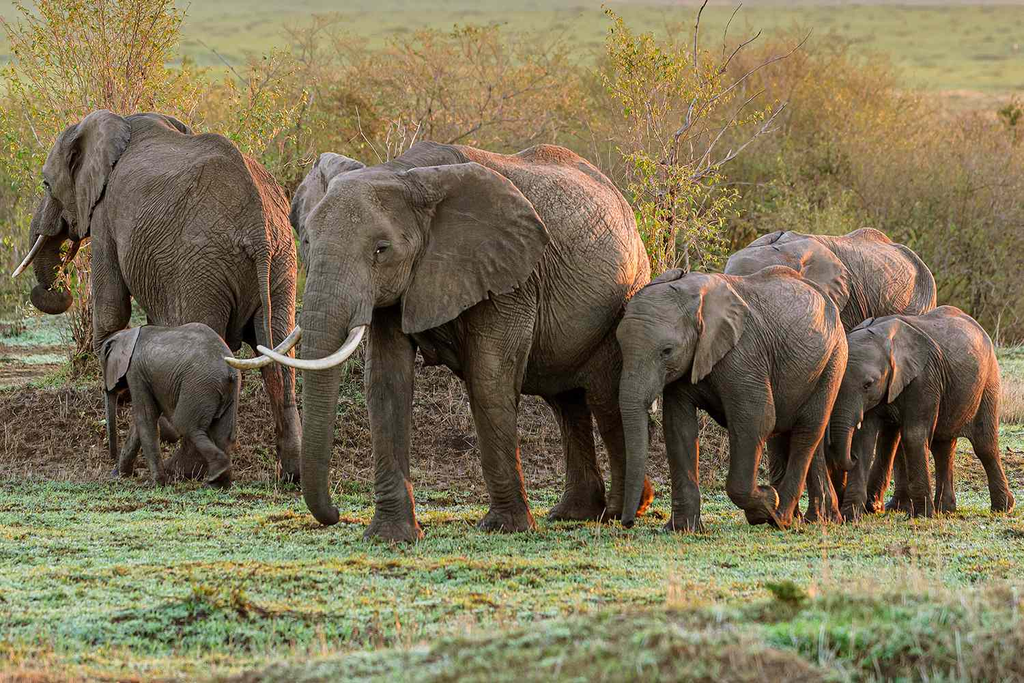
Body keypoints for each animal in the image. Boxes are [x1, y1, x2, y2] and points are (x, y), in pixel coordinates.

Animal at [101, 323, 240, 486]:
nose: (112, 459)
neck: (127, 333)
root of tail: (228, 370)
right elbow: (139, 422)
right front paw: (121, 475)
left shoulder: (135, 370)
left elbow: (145, 417)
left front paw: (156, 483)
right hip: (228, 391)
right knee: (223, 435)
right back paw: (219, 484)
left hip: (199, 385)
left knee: (185, 425)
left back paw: (217, 472)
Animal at [248, 141, 652, 540]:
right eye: (305, 241)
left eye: (381, 249)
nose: (334, 515)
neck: (403, 173)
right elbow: (386, 381)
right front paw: (391, 536)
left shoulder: (507, 275)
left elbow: (488, 378)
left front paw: (503, 528)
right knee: (565, 402)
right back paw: (573, 513)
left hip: (622, 301)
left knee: (604, 398)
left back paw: (625, 511)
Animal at [617, 266, 848, 532]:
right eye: (620, 346)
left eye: (667, 351)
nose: (628, 522)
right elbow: (678, 426)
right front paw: (681, 529)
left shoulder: (744, 355)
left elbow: (757, 419)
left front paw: (765, 504)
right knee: (805, 435)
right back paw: (820, 518)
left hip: (833, 360)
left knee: (807, 431)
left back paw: (781, 517)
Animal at [826, 306, 1015, 518]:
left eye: (868, 385)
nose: (851, 458)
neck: (885, 339)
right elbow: (864, 438)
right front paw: (851, 516)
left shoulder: (924, 379)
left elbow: (913, 436)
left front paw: (922, 515)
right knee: (943, 448)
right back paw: (946, 510)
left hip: (988, 383)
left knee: (984, 444)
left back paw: (1002, 508)